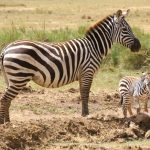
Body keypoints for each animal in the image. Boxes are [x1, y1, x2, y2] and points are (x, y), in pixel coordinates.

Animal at [0, 9, 141, 124]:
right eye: (125, 30)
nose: (138, 46)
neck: (94, 47)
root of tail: (7, 48)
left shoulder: (82, 74)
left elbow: (82, 93)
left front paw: (84, 113)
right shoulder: (88, 71)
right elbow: (86, 93)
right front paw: (87, 115)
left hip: (12, 78)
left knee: (7, 99)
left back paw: (8, 121)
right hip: (19, 76)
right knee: (5, 99)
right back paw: (4, 123)